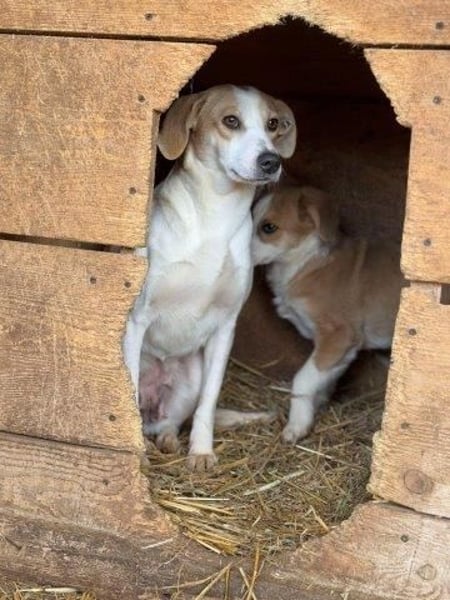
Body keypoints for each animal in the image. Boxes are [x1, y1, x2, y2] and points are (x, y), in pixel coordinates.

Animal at [123, 85, 296, 470]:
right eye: (231, 121)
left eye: (272, 124)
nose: (271, 161)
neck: (216, 214)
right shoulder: (137, 318)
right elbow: (127, 393)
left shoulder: (225, 328)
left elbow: (209, 402)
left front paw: (201, 451)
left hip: (189, 379)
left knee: (169, 422)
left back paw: (169, 440)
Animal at [251, 184, 404, 443]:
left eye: (268, 227)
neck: (304, 262)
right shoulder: (341, 351)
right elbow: (322, 381)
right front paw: (314, 409)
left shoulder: (338, 336)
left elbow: (302, 380)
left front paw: (297, 426)